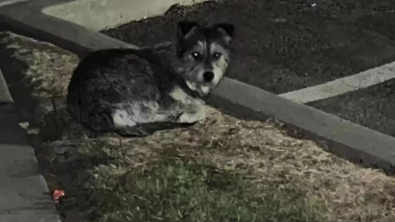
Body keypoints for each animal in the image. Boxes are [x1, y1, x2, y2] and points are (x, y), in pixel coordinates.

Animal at [67, 20, 237, 137]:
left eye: (217, 55)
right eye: (195, 54)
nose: (209, 75)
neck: (181, 67)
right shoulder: (167, 100)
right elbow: (200, 108)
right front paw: (185, 114)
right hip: (141, 75)